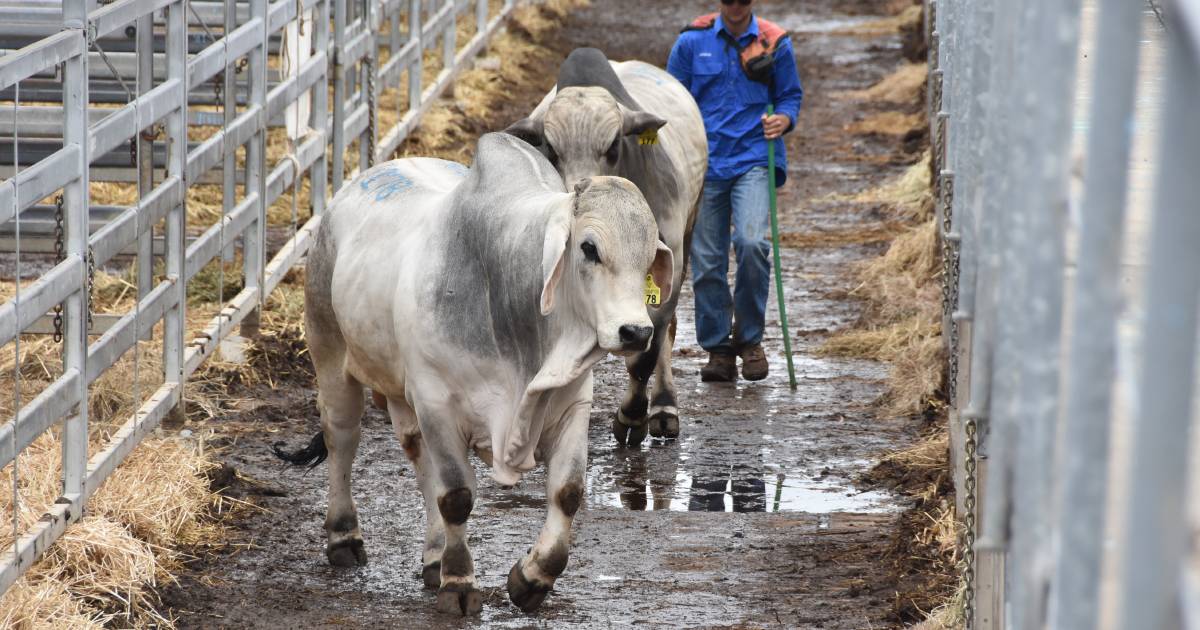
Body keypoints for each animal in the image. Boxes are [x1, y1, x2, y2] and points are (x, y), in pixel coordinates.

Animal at [276, 131, 681, 614]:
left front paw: (531, 578)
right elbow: (457, 497)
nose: (636, 331)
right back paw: (344, 536)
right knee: (342, 438)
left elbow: (567, 491)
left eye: (648, 257)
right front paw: (459, 583)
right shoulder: (437, 403)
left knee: (417, 457)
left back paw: (433, 555)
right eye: (589, 248)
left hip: (401, 389)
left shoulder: (570, 405)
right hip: (330, 350)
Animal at [504, 46, 705, 444]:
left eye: (613, 145)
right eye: (550, 148)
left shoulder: (666, 275)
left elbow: (646, 352)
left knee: (666, 335)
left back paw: (663, 406)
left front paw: (632, 417)